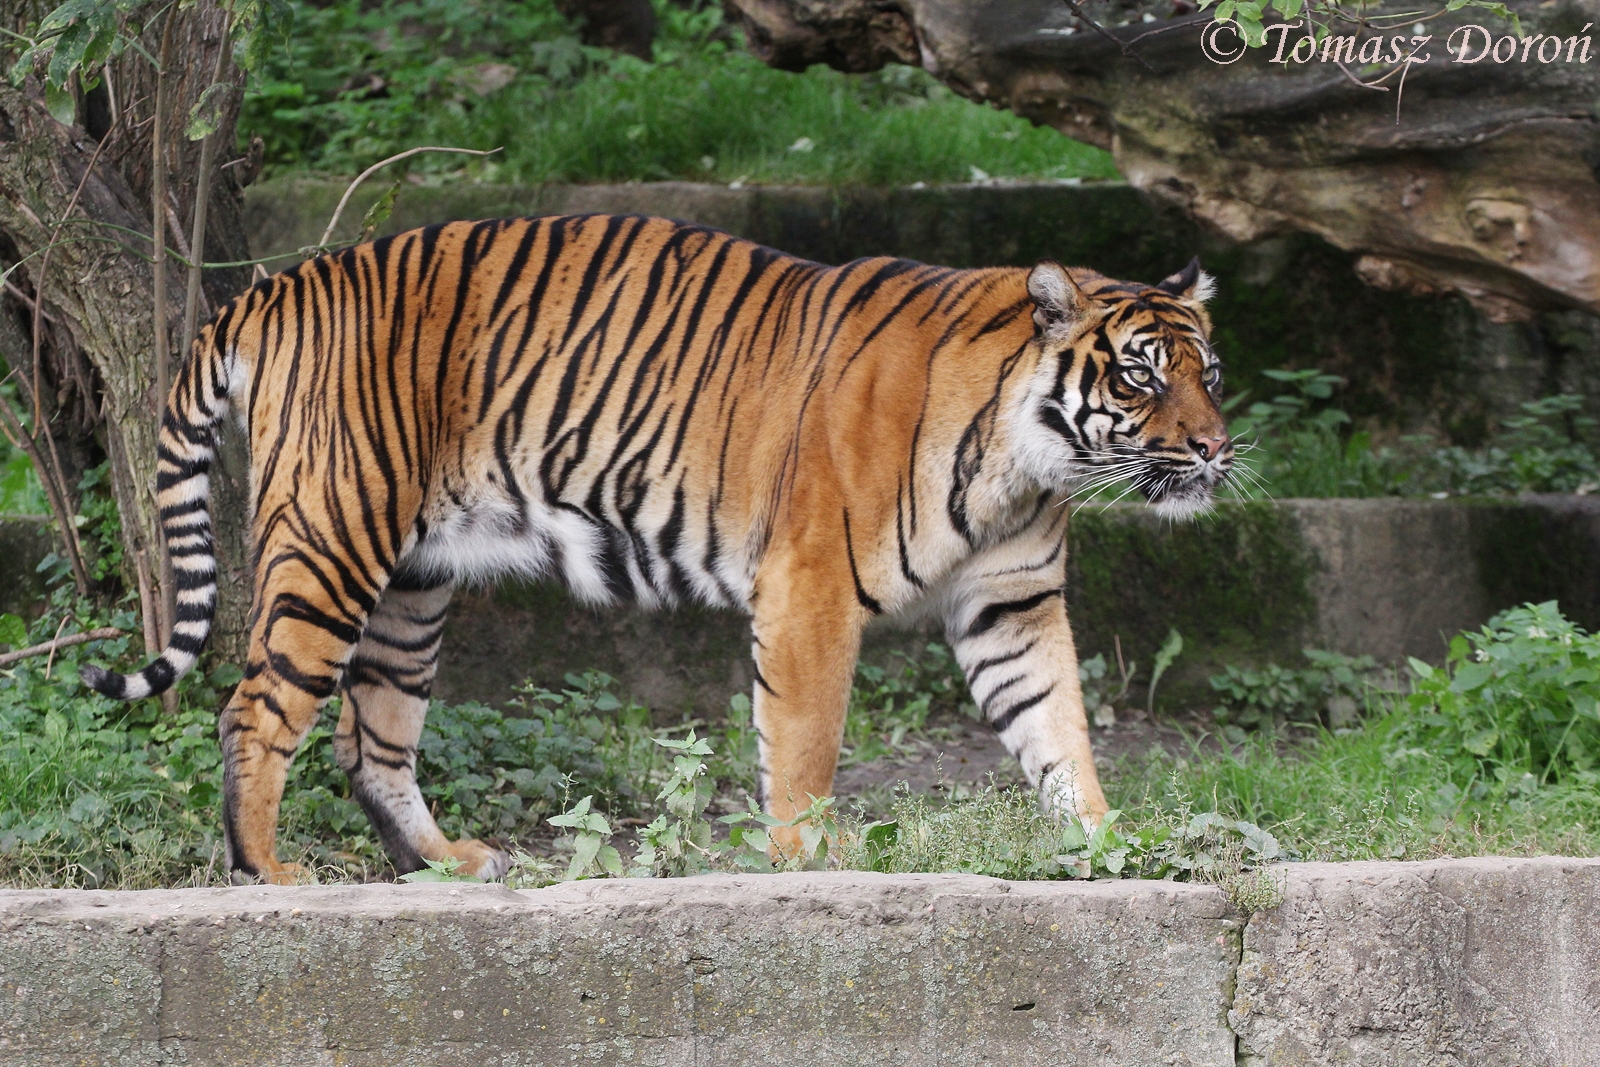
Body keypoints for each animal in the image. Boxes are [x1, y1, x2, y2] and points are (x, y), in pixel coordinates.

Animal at [84, 213, 1232, 884]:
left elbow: (1057, 727)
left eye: (1208, 371)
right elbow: (805, 743)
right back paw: (268, 875)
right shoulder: (809, 587)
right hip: (333, 535)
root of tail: (280, 283)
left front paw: (1108, 843)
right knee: (255, 708)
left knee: (373, 736)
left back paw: (445, 862)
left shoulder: (1012, 603)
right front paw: (807, 856)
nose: (1217, 450)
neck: (1022, 463)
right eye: (1139, 374)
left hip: (414, 580)